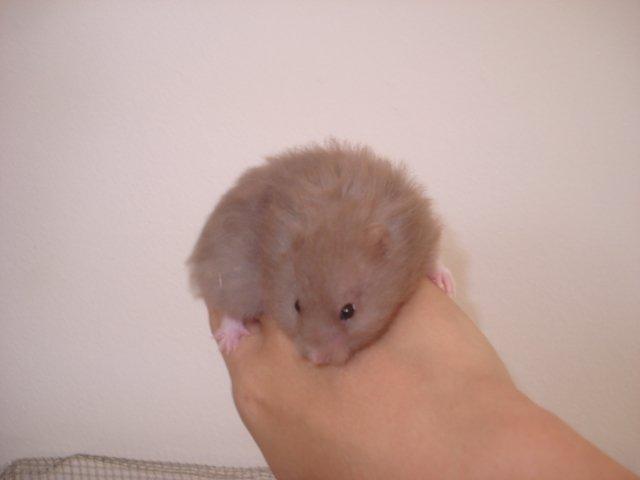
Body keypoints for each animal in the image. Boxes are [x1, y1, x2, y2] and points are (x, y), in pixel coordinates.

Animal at [188, 141, 454, 365]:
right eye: (296, 306)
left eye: (348, 311)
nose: (316, 359)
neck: (338, 218)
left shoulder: (419, 229)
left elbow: (433, 260)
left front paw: (446, 285)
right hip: (228, 268)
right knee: (228, 306)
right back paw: (229, 341)